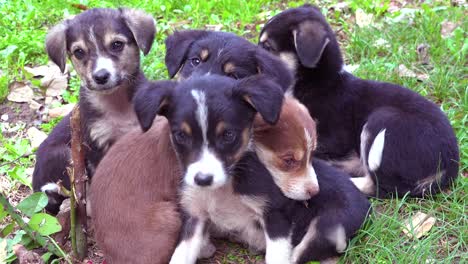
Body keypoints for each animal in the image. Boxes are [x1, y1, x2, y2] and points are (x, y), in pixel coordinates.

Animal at [33, 7, 157, 214]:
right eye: (79, 52)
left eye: (117, 44)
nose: (101, 76)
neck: (117, 104)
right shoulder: (96, 145)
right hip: (63, 154)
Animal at [133, 75, 284, 264]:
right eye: (181, 135)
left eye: (228, 135)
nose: (203, 180)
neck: (221, 190)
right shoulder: (194, 215)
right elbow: (179, 256)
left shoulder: (275, 213)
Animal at [258, 4, 458, 198]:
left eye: (267, 46)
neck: (318, 83)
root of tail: (448, 168)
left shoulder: (330, 139)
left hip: (383, 119)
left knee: (380, 186)